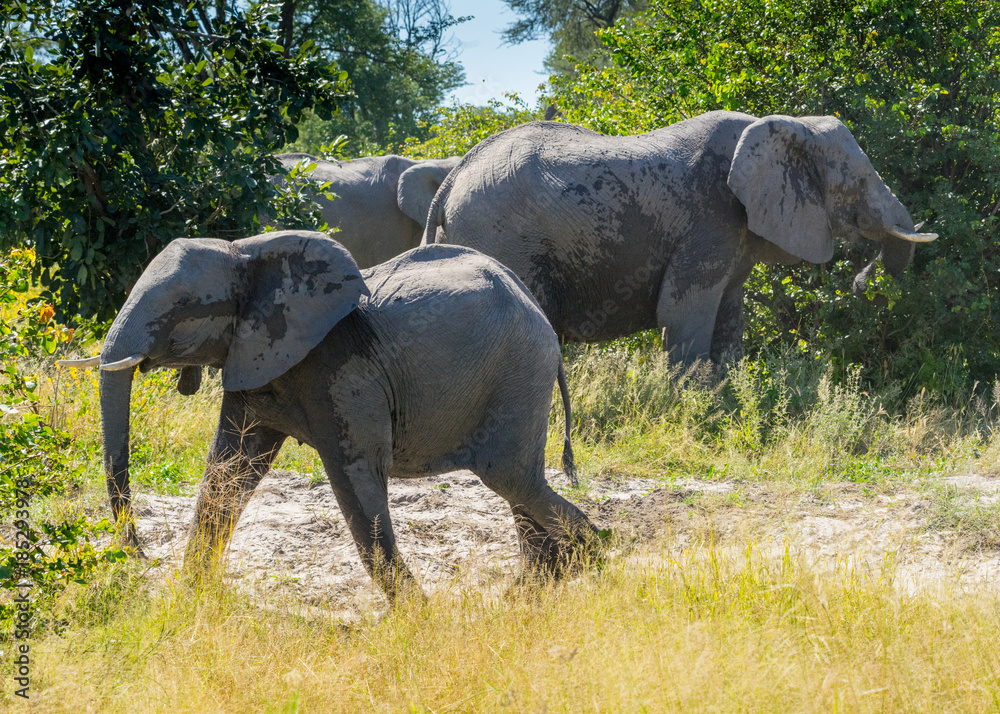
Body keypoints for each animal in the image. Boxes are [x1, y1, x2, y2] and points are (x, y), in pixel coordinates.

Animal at [61, 231, 594, 599]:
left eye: (181, 309)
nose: (139, 553)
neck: (246, 252)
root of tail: (539, 315)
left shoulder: (340, 368)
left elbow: (353, 476)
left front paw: (421, 618)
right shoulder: (256, 356)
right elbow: (228, 472)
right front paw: (191, 597)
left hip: (518, 371)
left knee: (512, 477)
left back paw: (593, 562)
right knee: (519, 487)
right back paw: (540, 587)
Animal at [423, 111, 938, 364]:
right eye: (858, 181)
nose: (864, 280)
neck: (788, 124)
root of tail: (452, 180)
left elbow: (728, 317)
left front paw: (732, 412)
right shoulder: (709, 218)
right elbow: (683, 312)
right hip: (502, 237)